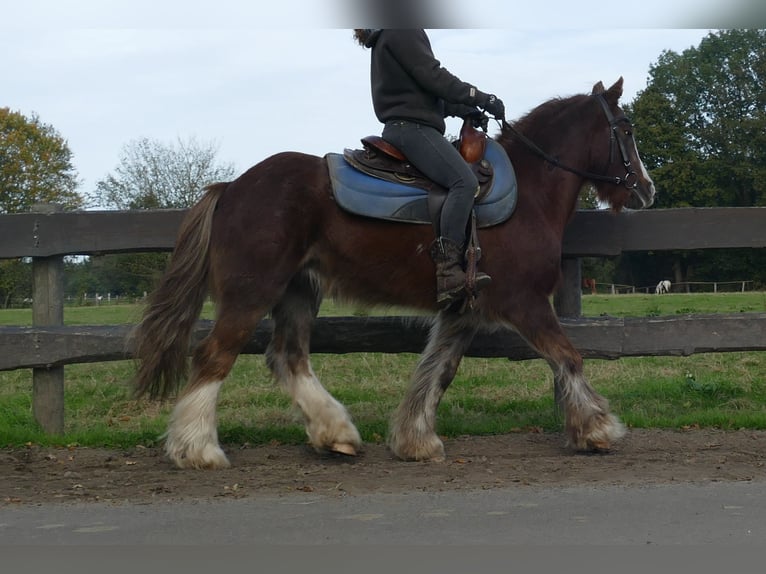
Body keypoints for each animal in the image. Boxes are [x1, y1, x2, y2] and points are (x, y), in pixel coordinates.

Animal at [132, 77, 660, 472]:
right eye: (627, 129)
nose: (647, 188)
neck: (528, 192)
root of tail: (231, 187)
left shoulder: (464, 312)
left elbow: (437, 372)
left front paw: (414, 440)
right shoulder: (525, 303)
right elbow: (568, 357)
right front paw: (597, 428)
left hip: (299, 291)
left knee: (288, 358)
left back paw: (336, 433)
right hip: (253, 292)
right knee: (214, 356)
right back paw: (197, 449)